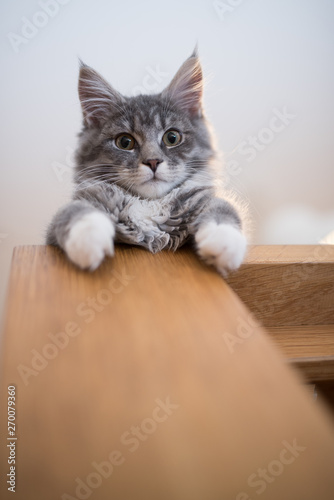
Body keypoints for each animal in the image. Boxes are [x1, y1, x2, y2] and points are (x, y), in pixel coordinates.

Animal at [45, 50, 247, 276]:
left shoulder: (203, 199)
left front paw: (223, 242)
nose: (153, 161)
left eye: (172, 138)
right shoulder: (63, 220)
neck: (150, 204)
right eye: (125, 142)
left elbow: (223, 208)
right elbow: (74, 212)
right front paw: (88, 239)